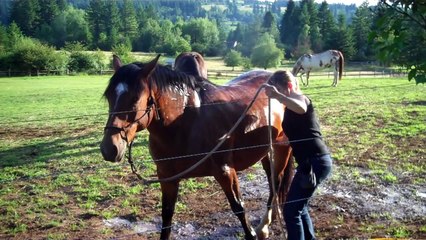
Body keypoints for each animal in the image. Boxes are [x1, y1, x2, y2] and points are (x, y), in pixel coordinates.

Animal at [100, 54, 292, 240]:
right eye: (109, 96)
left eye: (135, 99)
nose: (109, 148)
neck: (186, 121)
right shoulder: (167, 178)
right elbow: (166, 217)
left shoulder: (225, 171)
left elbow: (239, 209)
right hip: (265, 152)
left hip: (281, 148)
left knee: (276, 181)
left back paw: (264, 226)